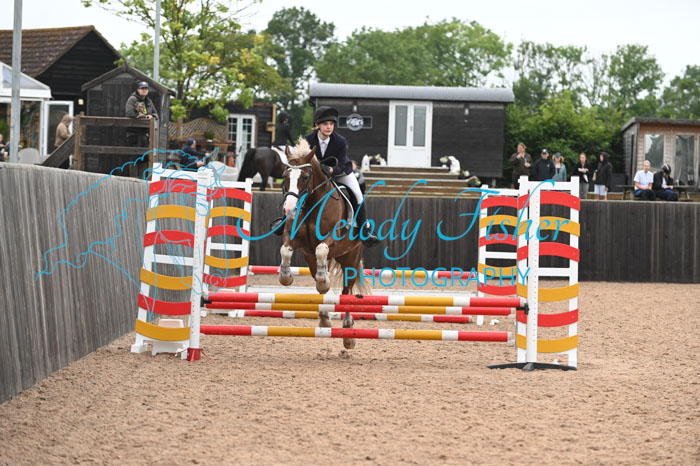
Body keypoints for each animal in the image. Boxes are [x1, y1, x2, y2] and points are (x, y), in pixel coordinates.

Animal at [278, 139, 367, 350]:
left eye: (304, 177)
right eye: (285, 176)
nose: (289, 209)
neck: (311, 205)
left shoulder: (332, 237)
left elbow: (321, 249)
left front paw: (324, 280)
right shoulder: (293, 237)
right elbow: (285, 250)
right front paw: (286, 277)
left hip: (351, 260)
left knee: (346, 291)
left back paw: (348, 333)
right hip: (310, 260)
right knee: (320, 287)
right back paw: (325, 317)